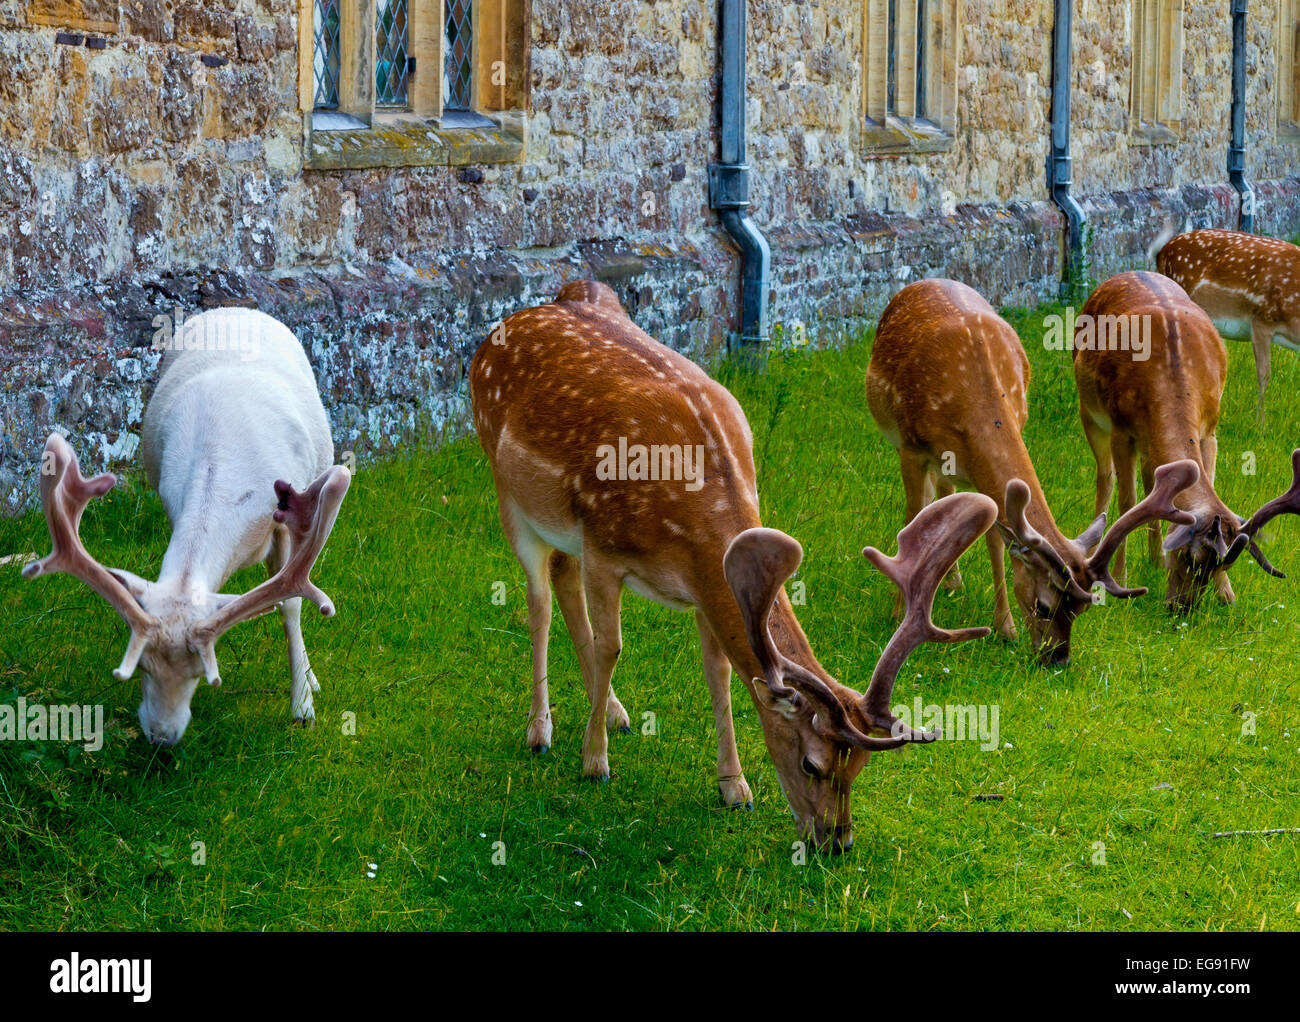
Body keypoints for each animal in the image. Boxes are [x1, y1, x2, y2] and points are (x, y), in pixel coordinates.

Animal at [25, 306, 351, 743]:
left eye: (202, 672)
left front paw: (303, 707)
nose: (161, 736)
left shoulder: (286, 518)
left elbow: (291, 605)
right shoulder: (168, 497)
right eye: (142, 667)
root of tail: (236, 308)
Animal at [470, 278, 993, 852]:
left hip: (561, 529)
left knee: (562, 580)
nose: (836, 842)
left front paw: (734, 786)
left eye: (856, 770)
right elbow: (612, 647)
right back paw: (541, 730)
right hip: (507, 491)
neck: (686, 528)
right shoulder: (604, 550)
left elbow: (716, 671)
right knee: (539, 602)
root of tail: (505, 327)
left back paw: (614, 712)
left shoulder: (706, 583)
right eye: (811, 765)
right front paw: (593, 762)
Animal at [863, 276, 1196, 670]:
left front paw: (1004, 628)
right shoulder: (911, 449)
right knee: (928, 503)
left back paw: (953, 582)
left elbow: (995, 538)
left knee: (947, 497)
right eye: (1043, 605)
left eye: (1081, 610)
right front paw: (897, 614)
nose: (1057, 658)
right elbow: (912, 516)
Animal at [1076, 269, 1300, 605]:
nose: (1182, 606)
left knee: (1151, 479)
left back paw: (1153, 560)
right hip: (1090, 414)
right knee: (1105, 479)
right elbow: (1127, 504)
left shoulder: (1209, 430)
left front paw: (1226, 594)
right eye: (1187, 556)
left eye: (1224, 565)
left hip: (1147, 443)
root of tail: (1131, 271)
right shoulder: (1121, 429)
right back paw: (1093, 550)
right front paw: (1121, 578)